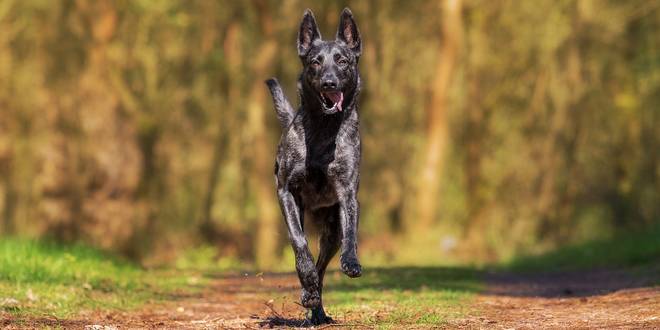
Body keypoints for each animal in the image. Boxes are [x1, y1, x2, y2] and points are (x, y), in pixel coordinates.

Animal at [266, 7, 364, 324]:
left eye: (343, 61)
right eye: (315, 62)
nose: (329, 83)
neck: (324, 129)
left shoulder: (347, 193)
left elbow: (351, 233)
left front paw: (351, 261)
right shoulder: (286, 192)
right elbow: (299, 244)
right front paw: (305, 281)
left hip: (331, 231)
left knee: (323, 266)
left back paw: (318, 309)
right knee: (310, 261)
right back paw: (310, 295)